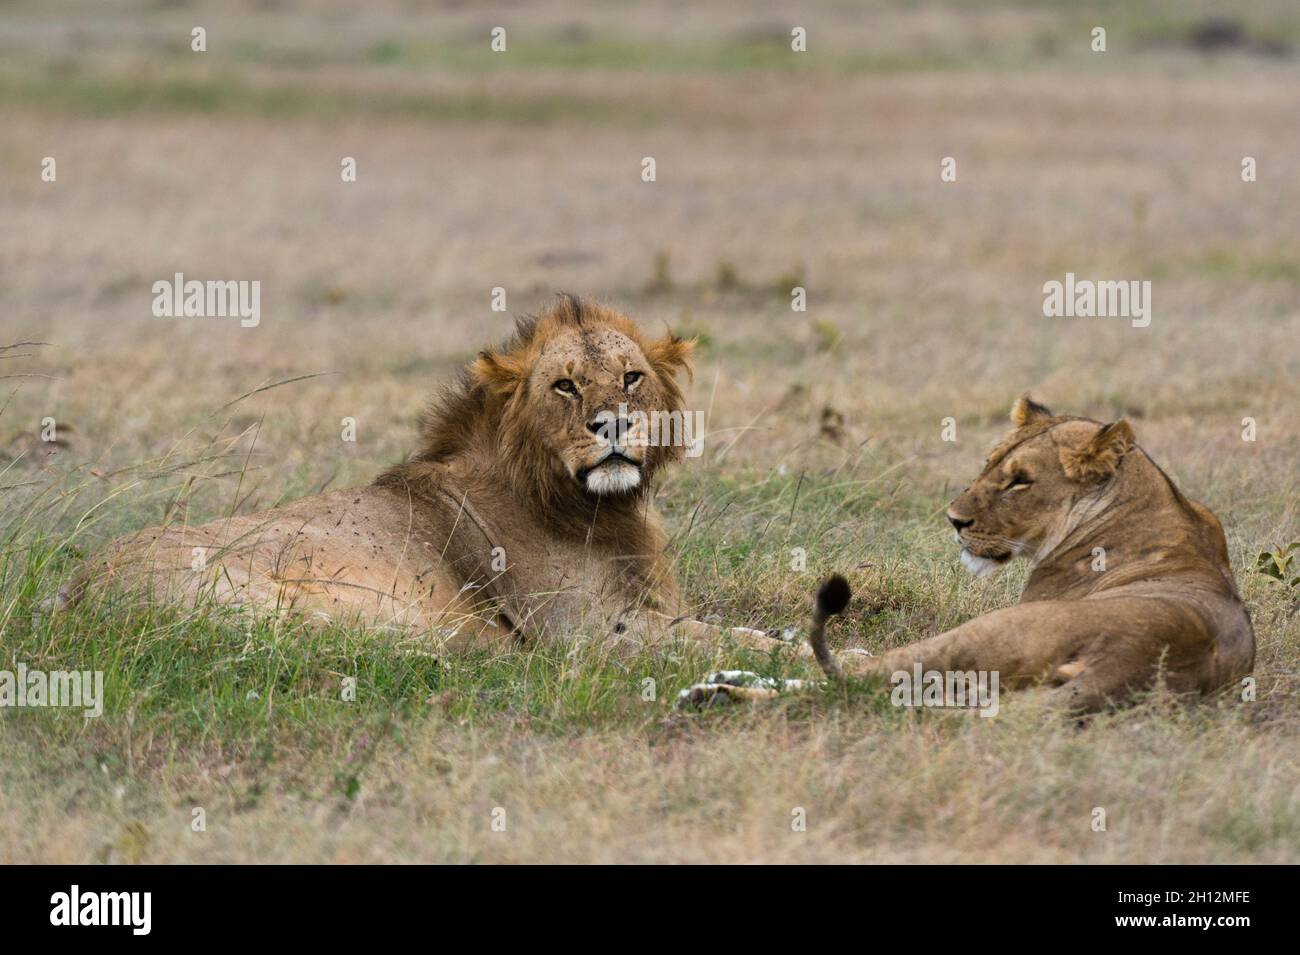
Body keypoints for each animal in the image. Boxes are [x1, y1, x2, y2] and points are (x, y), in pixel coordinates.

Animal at [71, 296, 798, 658]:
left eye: (631, 378)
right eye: (564, 385)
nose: (613, 424)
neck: (596, 507)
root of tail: (76, 594)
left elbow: (746, 633)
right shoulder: (588, 632)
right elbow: (732, 644)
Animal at [682, 395, 1255, 712]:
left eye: (1020, 481)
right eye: (990, 462)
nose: (954, 520)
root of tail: (1128, 665)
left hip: (979, 637)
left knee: (853, 681)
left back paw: (718, 690)